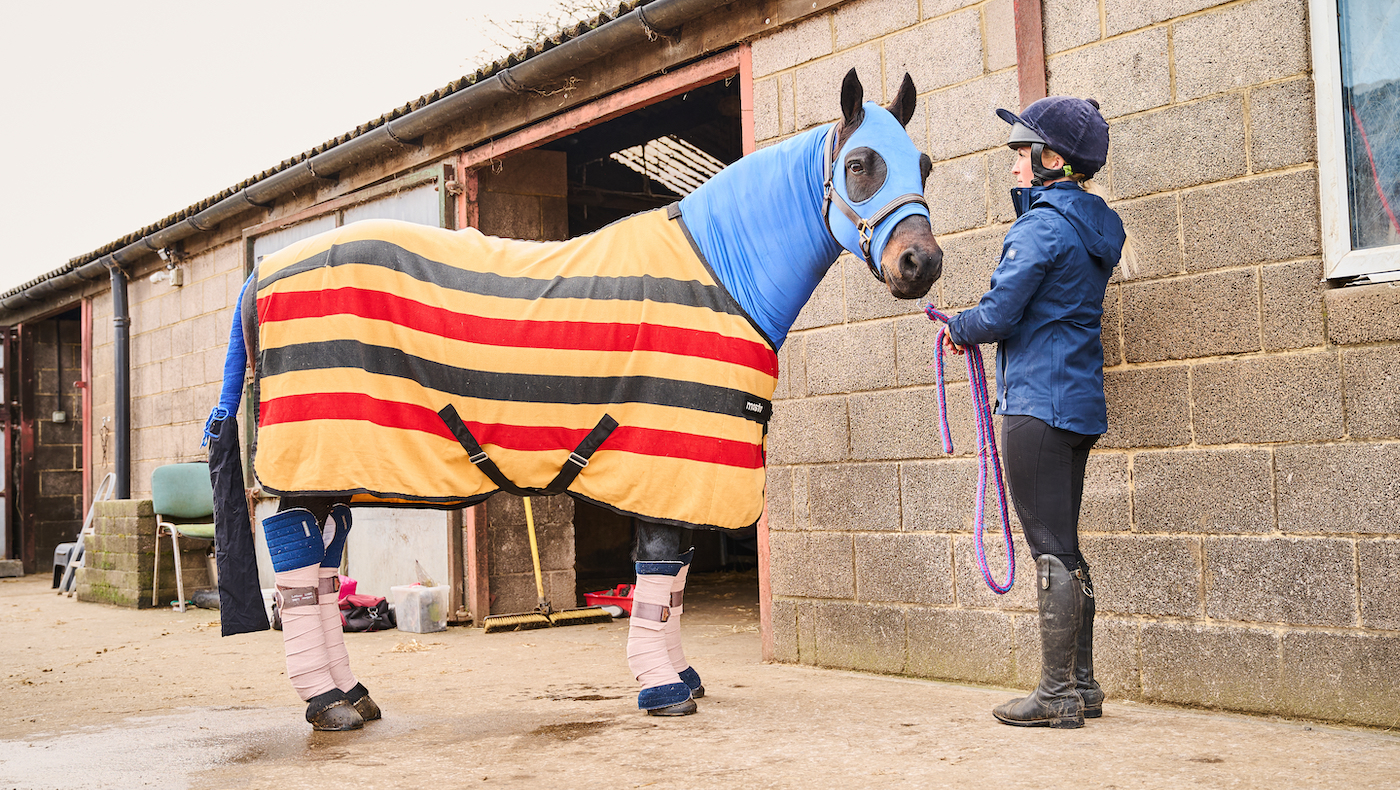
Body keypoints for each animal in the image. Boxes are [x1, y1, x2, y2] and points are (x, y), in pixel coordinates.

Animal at [206, 68, 943, 729]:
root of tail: (263, 272)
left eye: (926, 165)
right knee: (299, 566)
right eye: (860, 164)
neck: (722, 271)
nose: (922, 264)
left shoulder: (682, 474)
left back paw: (353, 695)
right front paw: (663, 689)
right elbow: (659, 574)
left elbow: (672, 583)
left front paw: (680, 677)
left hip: (333, 468)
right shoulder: (665, 463)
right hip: (314, 459)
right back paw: (327, 703)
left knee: (324, 568)